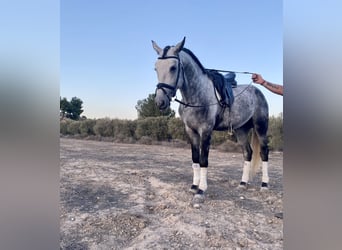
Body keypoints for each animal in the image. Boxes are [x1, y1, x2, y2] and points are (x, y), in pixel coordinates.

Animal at [152, 37, 270, 203]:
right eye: (156, 68)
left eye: (173, 67)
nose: (160, 102)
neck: (196, 96)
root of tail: (257, 90)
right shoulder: (190, 131)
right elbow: (195, 159)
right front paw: (193, 186)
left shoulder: (206, 131)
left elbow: (203, 160)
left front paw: (201, 190)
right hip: (241, 130)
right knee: (248, 153)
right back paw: (242, 183)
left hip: (261, 127)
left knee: (264, 152)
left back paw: (264, 185)